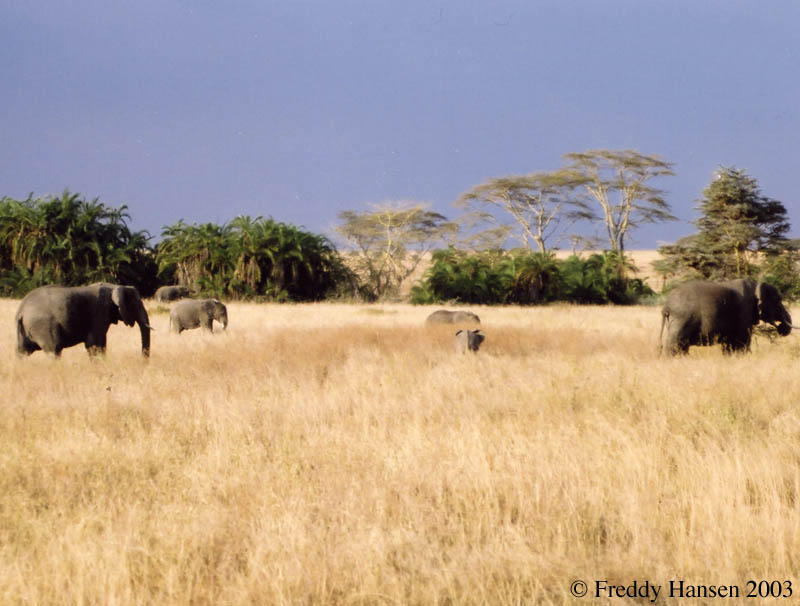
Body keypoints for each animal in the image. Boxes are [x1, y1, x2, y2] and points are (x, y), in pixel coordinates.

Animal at [16, 283, 151, 357]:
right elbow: (96, 345)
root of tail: (22, 311)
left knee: (22, 352)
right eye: (137, 304)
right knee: (54, 350)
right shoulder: (100, 313)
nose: (143, 364)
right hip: (43, 326)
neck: (115, 286)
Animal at [660, 278, 794, 355]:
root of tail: (666, 306)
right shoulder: (744, 311)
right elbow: (741, 341)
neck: (756, 284)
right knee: (675, 345)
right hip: (682, 319)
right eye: (777, 301)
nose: (781, 328)